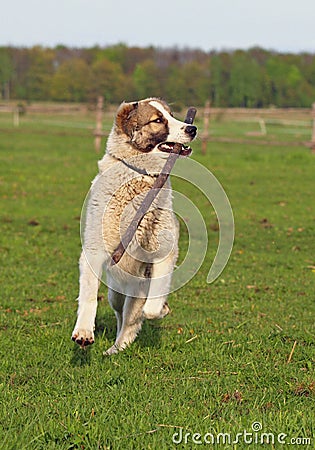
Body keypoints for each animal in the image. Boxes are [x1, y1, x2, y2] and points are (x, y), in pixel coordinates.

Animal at [71, 98, 198, 356]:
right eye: (158, 120)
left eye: (172, 114)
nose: (192, 129)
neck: (139, 178)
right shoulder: (93, 252)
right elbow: (88, 295)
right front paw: (84, 332)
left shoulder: (165, 253)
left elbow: (150, 307)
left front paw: (160, 308)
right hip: (115, 293)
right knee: (121, 315)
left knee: (131, 319)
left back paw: (119, 346)